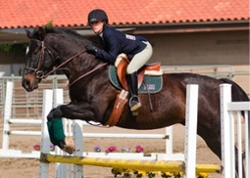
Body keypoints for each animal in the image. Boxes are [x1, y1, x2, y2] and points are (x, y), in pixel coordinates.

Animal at [22, 26, 248, 177]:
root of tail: (218, 82)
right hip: (206, 130)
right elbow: (52, 113)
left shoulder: (93, 111)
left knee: (235, 157)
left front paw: (65, 144)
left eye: (35, 52)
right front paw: (67, 145)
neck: (88, 68)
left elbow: (57, 111)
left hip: (214, 131)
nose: (26, 82)